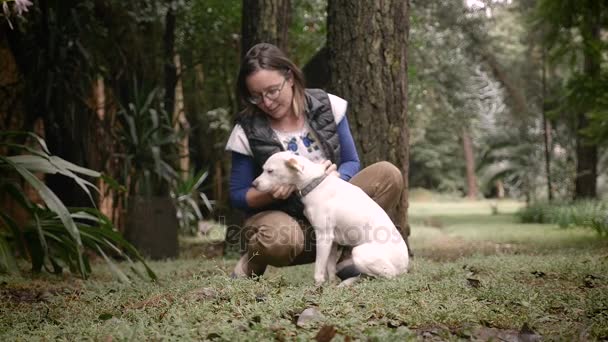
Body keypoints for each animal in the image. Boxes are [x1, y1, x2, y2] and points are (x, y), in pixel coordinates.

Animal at [252, 151, 408, 284]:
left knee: (386, 276)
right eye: (263, 169)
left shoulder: (324, 236)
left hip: (360, 253)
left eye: (270, 171)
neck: (314, 183)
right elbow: (330, 267)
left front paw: (318, 285)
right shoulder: (333, 241)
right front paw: (331, 284)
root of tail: (404, 266)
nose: (253, 184)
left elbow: (319, 268)